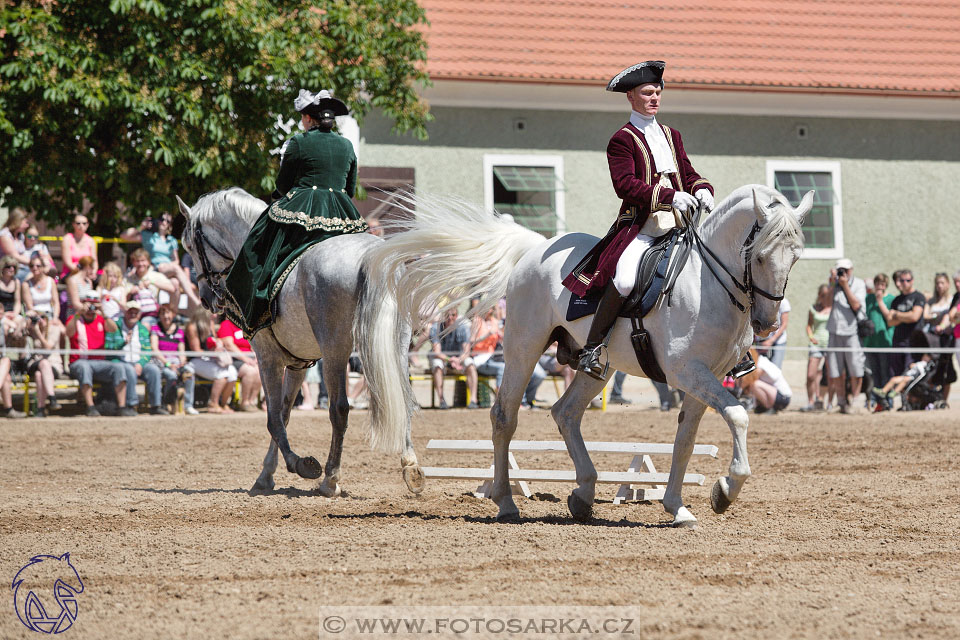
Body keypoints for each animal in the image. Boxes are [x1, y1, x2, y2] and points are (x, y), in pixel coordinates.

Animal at [177, 188, 424, 498]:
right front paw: (266, 475)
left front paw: (300, 465)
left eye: (189, 246)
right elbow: (284, 413)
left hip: (335, 351)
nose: (206, 298)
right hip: (396, 348)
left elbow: (273, 417)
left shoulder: (268, 357)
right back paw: (411, 468)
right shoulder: (299, 364)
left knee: (339, 409)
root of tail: (372, 256)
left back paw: (330, 479)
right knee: (404, 399)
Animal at [370, 186, 808, 528]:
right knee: (504, 417)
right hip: (524, 347)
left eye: (796, 256)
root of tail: (536, 247)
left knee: (565, 412)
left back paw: (582, 494)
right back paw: (507, 503)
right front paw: (726, 490)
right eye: (760, 255)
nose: (767, 322)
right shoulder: (687, 372)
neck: (706, 283)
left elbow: (685, 440)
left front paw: (678, 507)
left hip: (596, 364)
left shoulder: (707, 376)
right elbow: (738, 415)